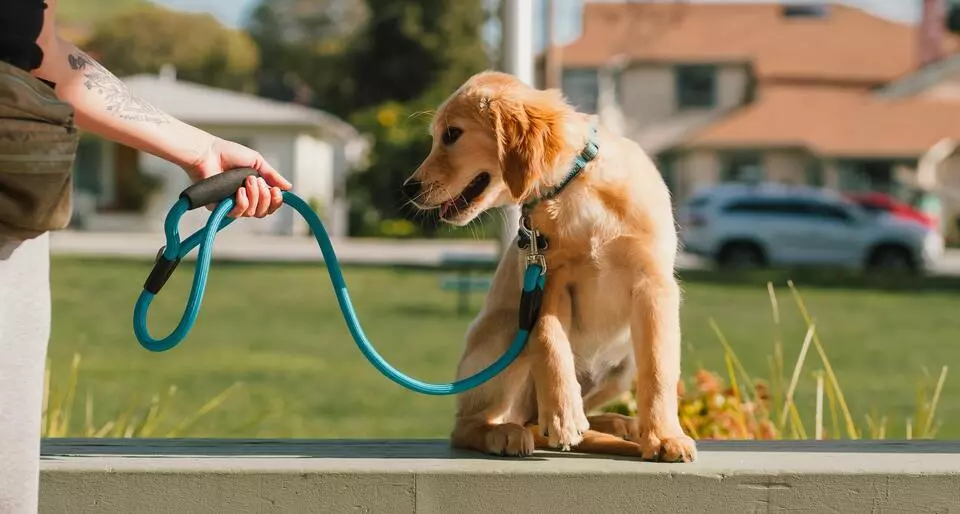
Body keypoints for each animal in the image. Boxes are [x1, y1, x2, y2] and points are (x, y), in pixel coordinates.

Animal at [402, 69, 692, 460]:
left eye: (451, 134)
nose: (408, 188)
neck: (574, 188)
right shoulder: (547, 280)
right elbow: (549, 341)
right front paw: (563, 416)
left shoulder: (654, 284)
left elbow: (659, 368)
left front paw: (663, 436)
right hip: (508, 330)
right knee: (470, 425)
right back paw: (507, 432)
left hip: (622, 365)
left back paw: (619, 424)